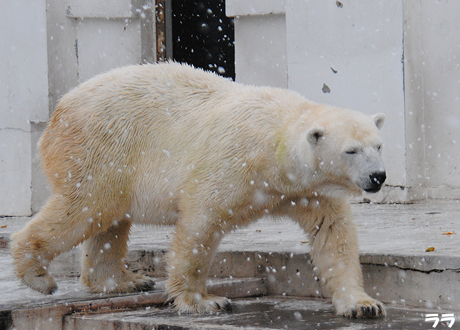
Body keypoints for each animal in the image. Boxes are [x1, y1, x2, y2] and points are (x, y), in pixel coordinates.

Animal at [10, 62, 386, 318]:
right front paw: (204, 300)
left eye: (378, 145)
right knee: (86, 208)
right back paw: (38, 275)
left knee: (110, 221)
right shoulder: (233, 165)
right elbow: (200, 225)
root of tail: (58, 110)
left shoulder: (310, 190)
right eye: (351, 150)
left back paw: (125, 281)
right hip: (102, 148)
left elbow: (332, 234)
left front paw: (363, 304)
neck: (274, 151)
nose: (378, 176)